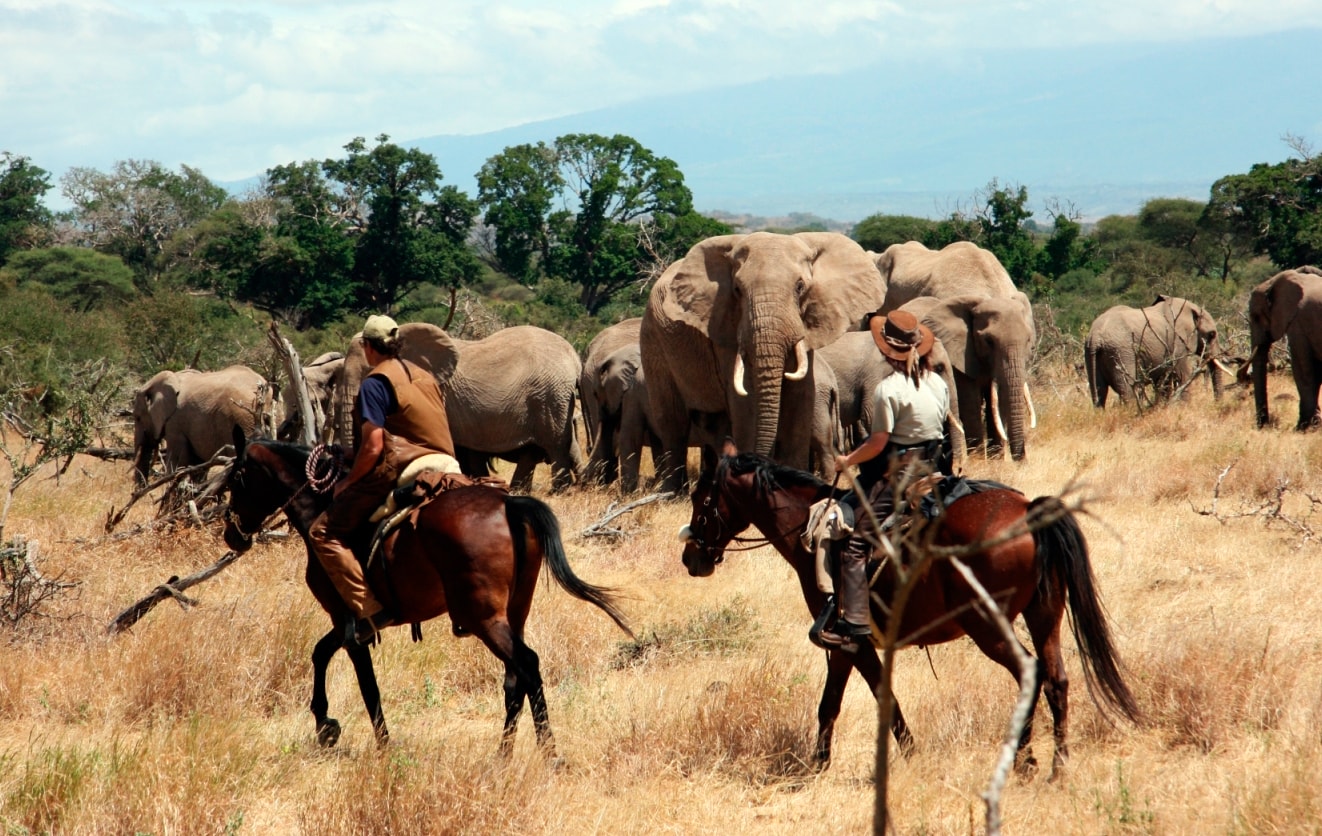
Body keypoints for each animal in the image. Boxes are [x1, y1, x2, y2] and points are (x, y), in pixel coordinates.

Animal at [222, 431, 634, 756]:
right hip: (514, 613)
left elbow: (364, 685)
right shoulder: (350, 624)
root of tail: (508, 504)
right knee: (515, 679)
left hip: (483, 619)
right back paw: (503, 756)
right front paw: (327, 726)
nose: (231, 534)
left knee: (527, 667)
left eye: (237, 477)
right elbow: (321, 653)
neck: (320, 508)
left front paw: (372, 742)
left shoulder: (350, 623)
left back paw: (550, 756)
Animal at [637, 230, 883, 489]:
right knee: (672, 422)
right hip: (653, 341)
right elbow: (746, 402)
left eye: (800, 287)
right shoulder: (724, 327)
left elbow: (801, 397)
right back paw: (672, 492)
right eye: (737, 289)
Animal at [682, 444, 1136, 777]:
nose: (691, 559)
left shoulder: (847, 643)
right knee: (1057, 679)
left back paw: (1024, 760)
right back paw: (1059, 765)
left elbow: (847, 701)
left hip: (988, 627)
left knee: (1031, 672)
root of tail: (1028, 511)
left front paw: (826, 763)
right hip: (1044, 617)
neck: (814, 532)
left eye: (701, 499)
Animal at [1084, 294, 1226, 407]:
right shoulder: (1177, 342)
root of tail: (1095, 337)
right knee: (1127, 389)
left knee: (1099, 391)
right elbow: (1183, 374)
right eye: (1212, 334)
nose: (1216, 405)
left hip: (1091, 354)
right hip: (1121, 352)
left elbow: (1165, 380)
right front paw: (1185, 409)